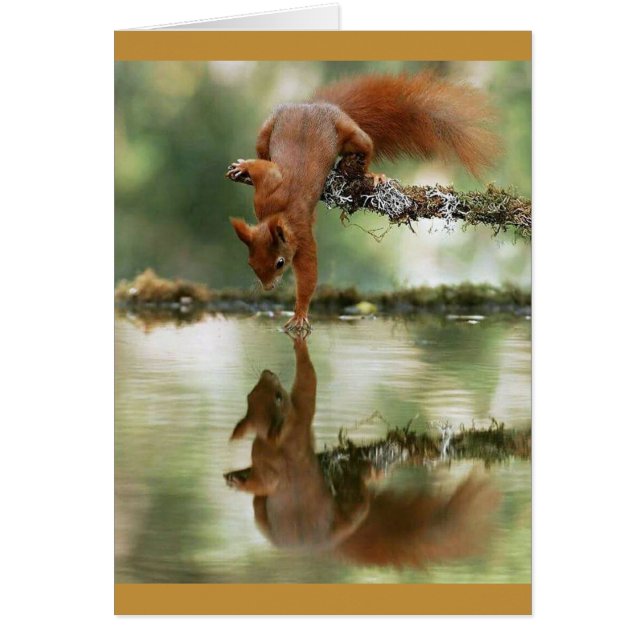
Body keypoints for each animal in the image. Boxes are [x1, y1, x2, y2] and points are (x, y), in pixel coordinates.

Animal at [227, 72, 500, 332]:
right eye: (250, 263)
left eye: (280, 263)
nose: (268, 288)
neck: (278, 214)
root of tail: (316, 105)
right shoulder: (265, 195)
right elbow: (266, 169)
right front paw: (244, 166)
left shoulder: (301, 236)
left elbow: (308, 275)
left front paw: (300, 314)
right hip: (269, 127)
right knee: (263, 149)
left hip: (349, 132)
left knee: (365, 146)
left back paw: (372, 175)